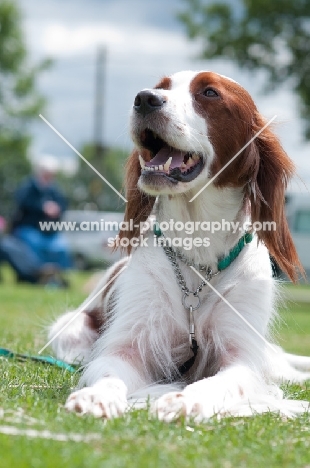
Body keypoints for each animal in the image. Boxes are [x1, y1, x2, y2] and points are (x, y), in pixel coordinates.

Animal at [48, 71, 310, 422]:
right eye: (161, 87)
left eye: (210, 93)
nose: (144, 98)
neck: (198, 244)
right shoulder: (128, 346)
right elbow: (110, 373)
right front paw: (97, 397)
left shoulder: (242, 357)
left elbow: (222, 382)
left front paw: (187, 400)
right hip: (68, 333)